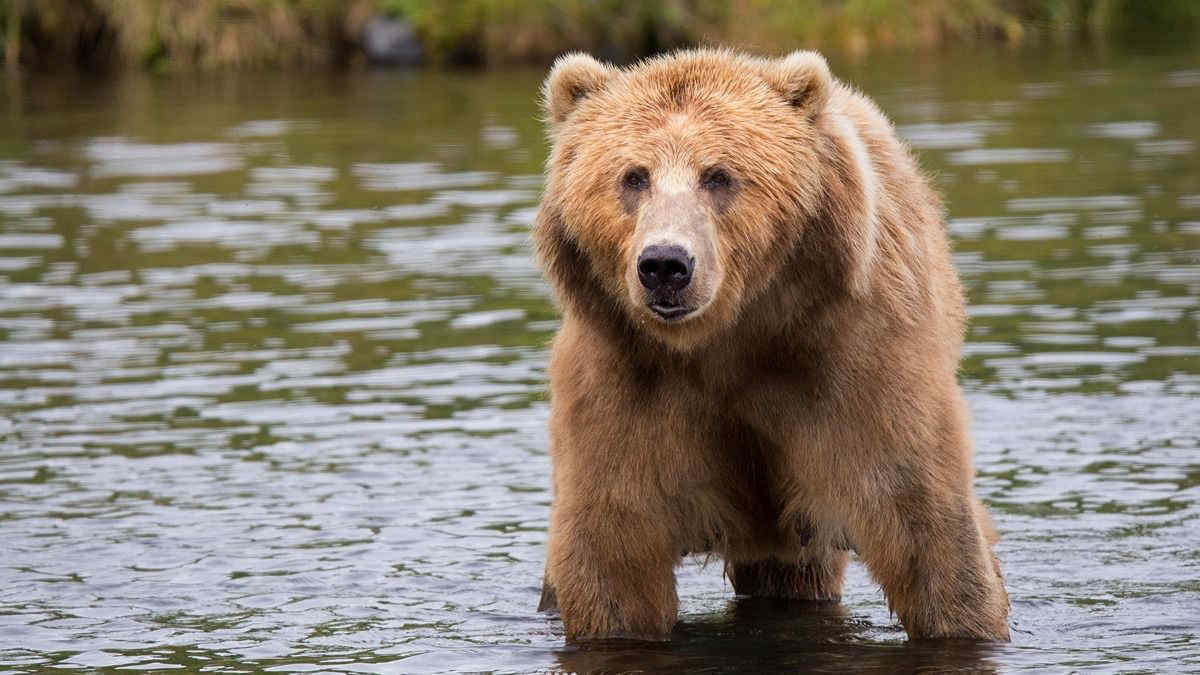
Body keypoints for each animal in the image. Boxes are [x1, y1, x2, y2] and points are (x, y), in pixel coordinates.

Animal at [530, 48, 1008, 638]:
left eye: (718, 176)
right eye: (633, 177)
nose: (665, 264)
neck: (730, 339)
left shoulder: (854, 362)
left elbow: (925, 524)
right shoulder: (624, 381)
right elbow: (613, 551)